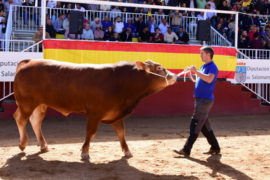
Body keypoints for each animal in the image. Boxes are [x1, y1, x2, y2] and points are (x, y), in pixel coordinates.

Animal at [13, 59, 177, 160]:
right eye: (159, 68)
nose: (174, 76)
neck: (122, 82)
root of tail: (28, 62)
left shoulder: (116, 114)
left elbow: (121, 133)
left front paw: (127, 151)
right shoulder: (95, 113)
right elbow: (91, 132)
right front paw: (85, 153)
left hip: (40, 104)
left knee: (35, 120)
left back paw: (43, 145)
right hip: (26, 102)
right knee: (21, 118)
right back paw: (22, 143)